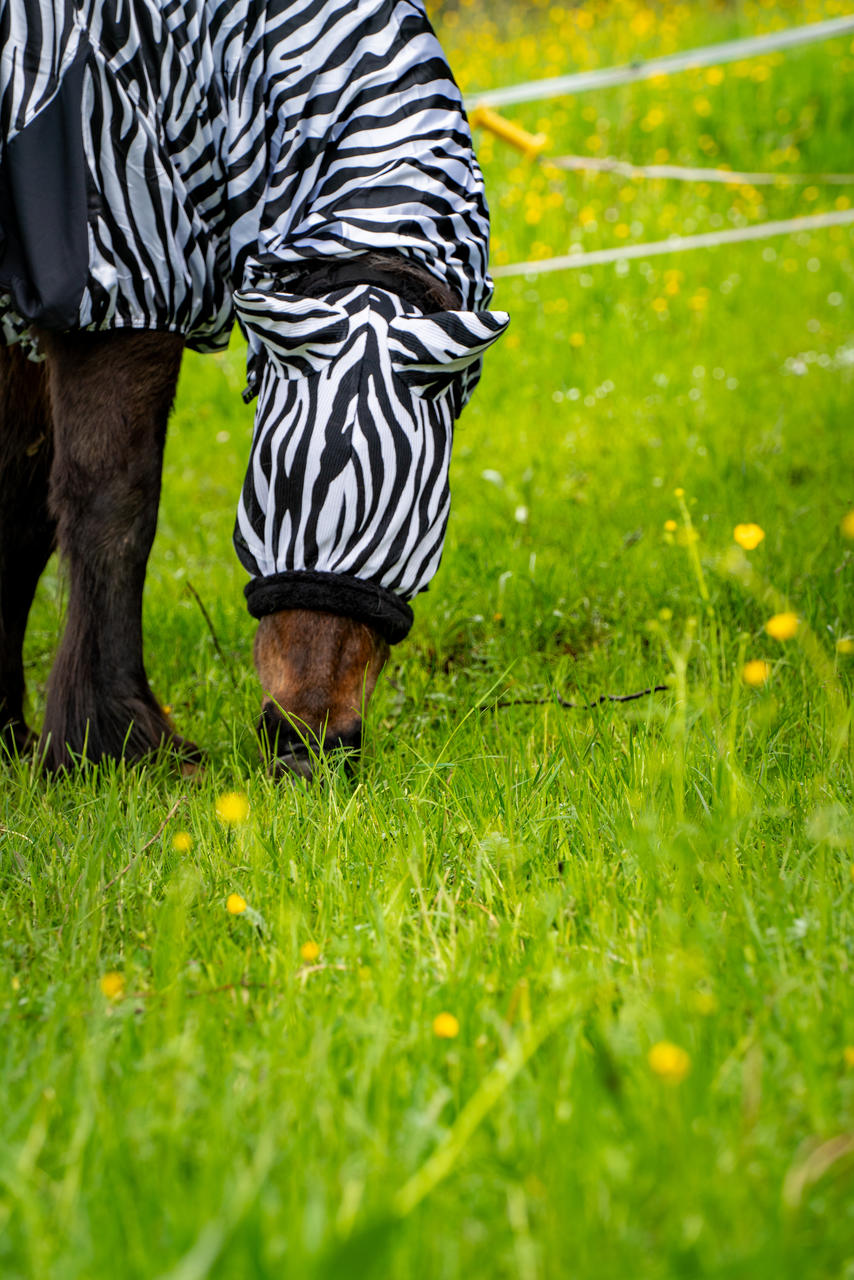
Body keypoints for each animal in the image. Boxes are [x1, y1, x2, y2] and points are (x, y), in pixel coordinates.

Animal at [0, 0, 507, 773]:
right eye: (279, 481)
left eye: (418, 517)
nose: (307, 749)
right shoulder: (123, 280)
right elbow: (115, 508)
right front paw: (115, 744)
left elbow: (21, 509)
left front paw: (12, 732)